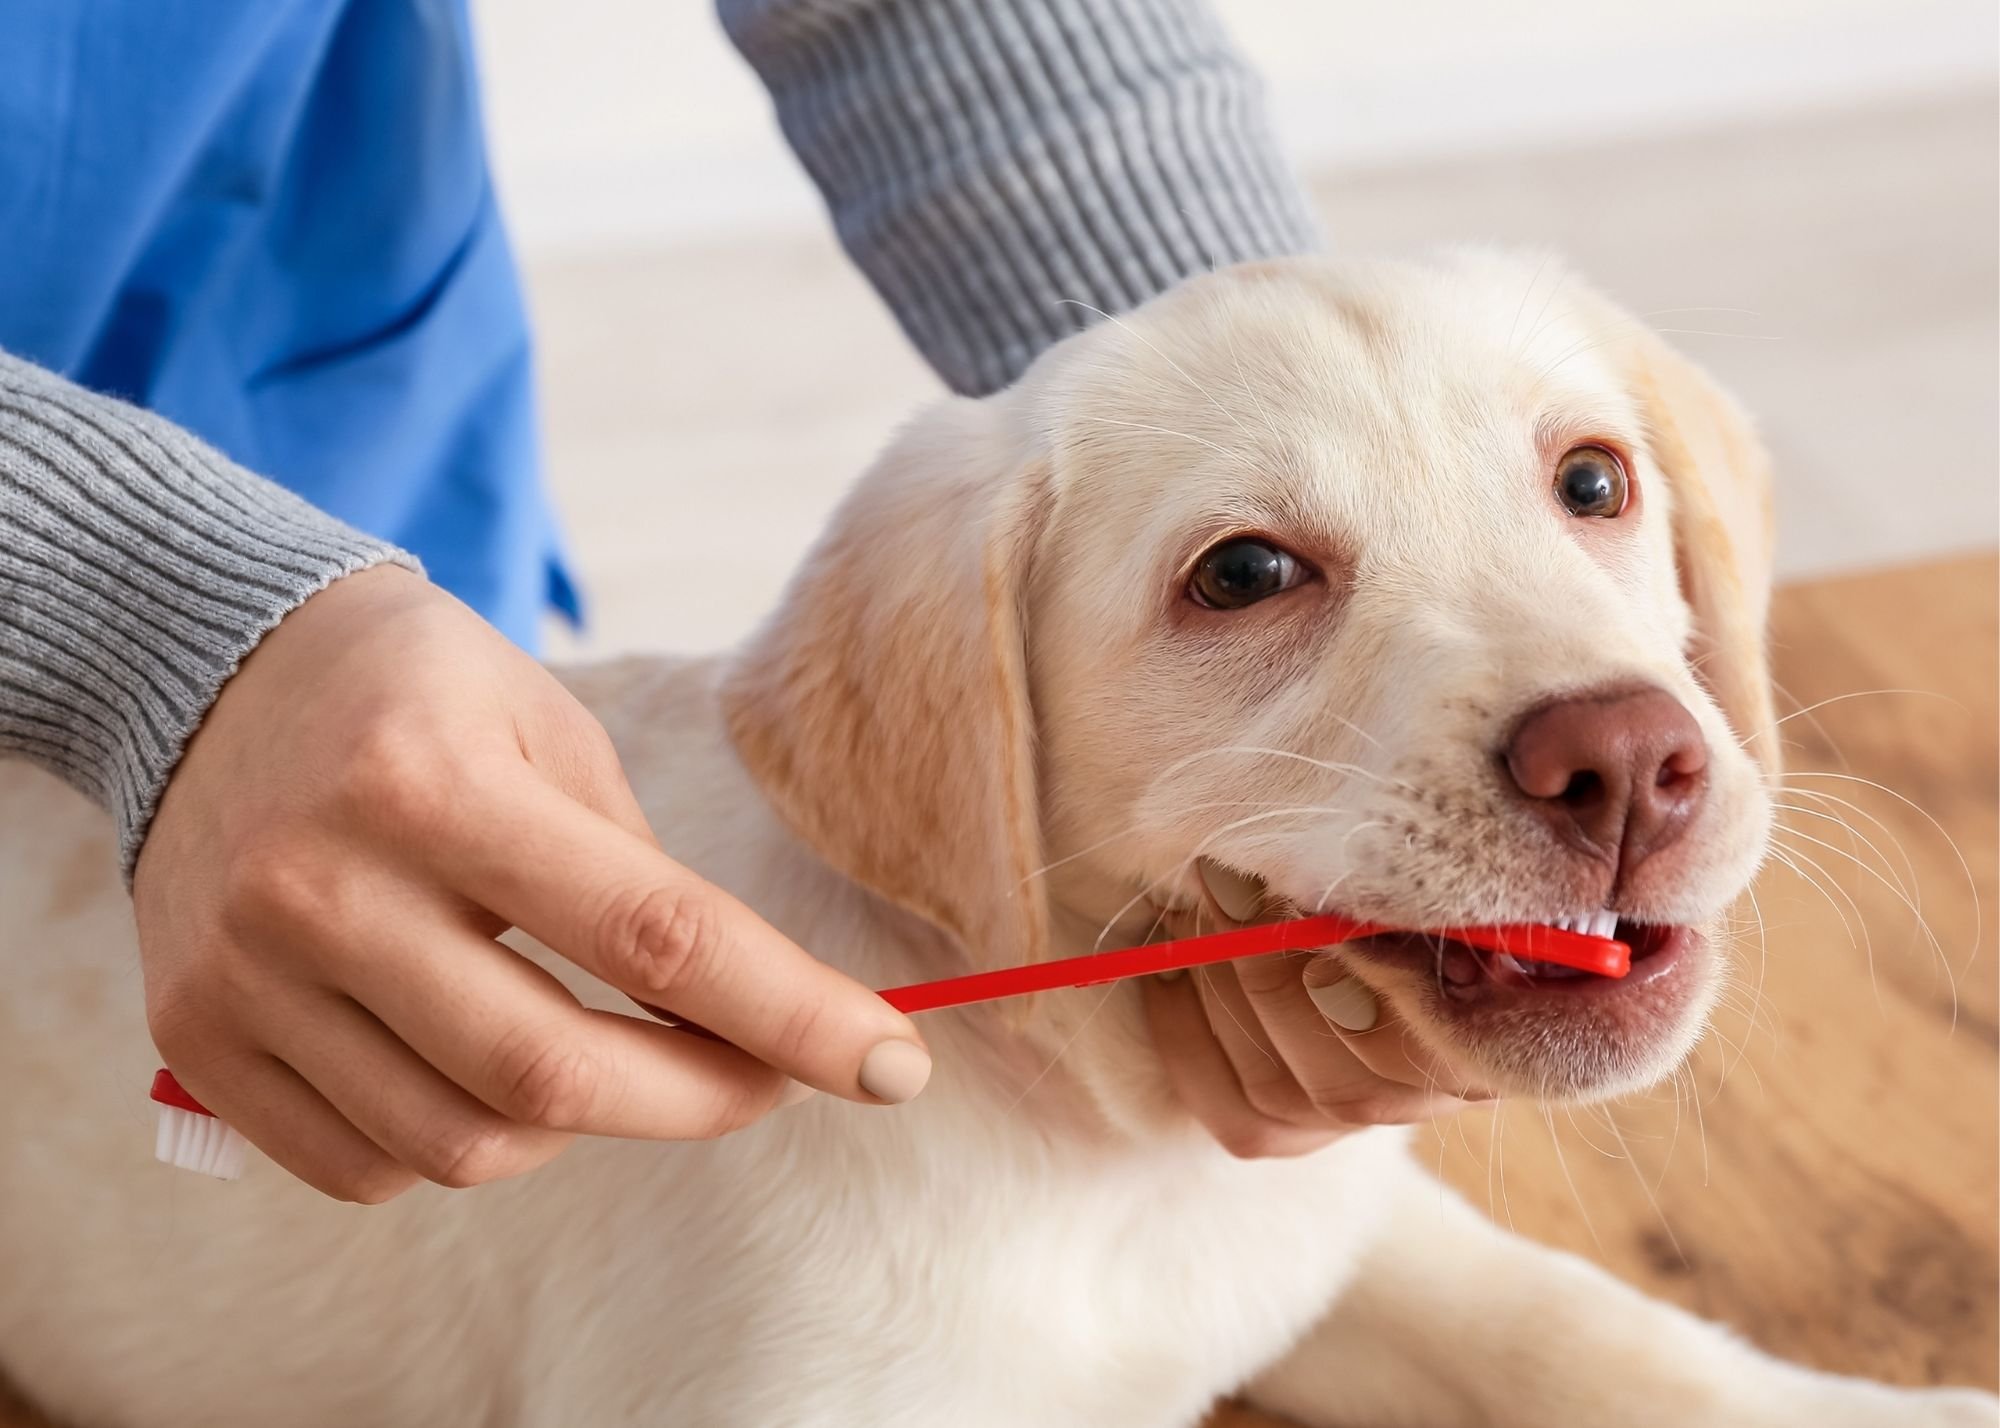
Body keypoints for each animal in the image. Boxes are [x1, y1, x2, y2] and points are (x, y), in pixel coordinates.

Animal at [3, 250, 2000, 1416]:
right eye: (1246, 576)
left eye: (1595, 480)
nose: (1633, 762)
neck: (1104, 1151)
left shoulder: (1336, 1230)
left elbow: (1580, 1325)